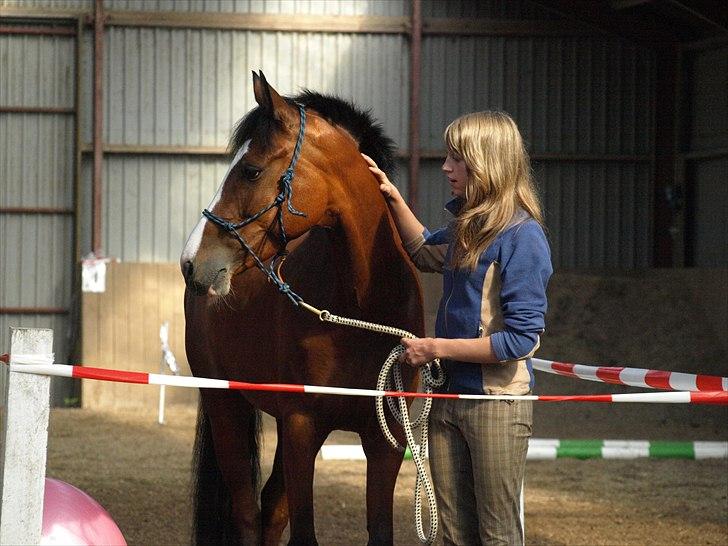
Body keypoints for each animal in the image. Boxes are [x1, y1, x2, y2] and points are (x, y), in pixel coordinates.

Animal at [179, 70, 424, 540]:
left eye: (251, 170)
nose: (191, 262)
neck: (362, 307)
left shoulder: (385, 442)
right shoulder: (300, 426)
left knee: (271, 510)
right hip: (226, 407)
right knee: (247, 513)